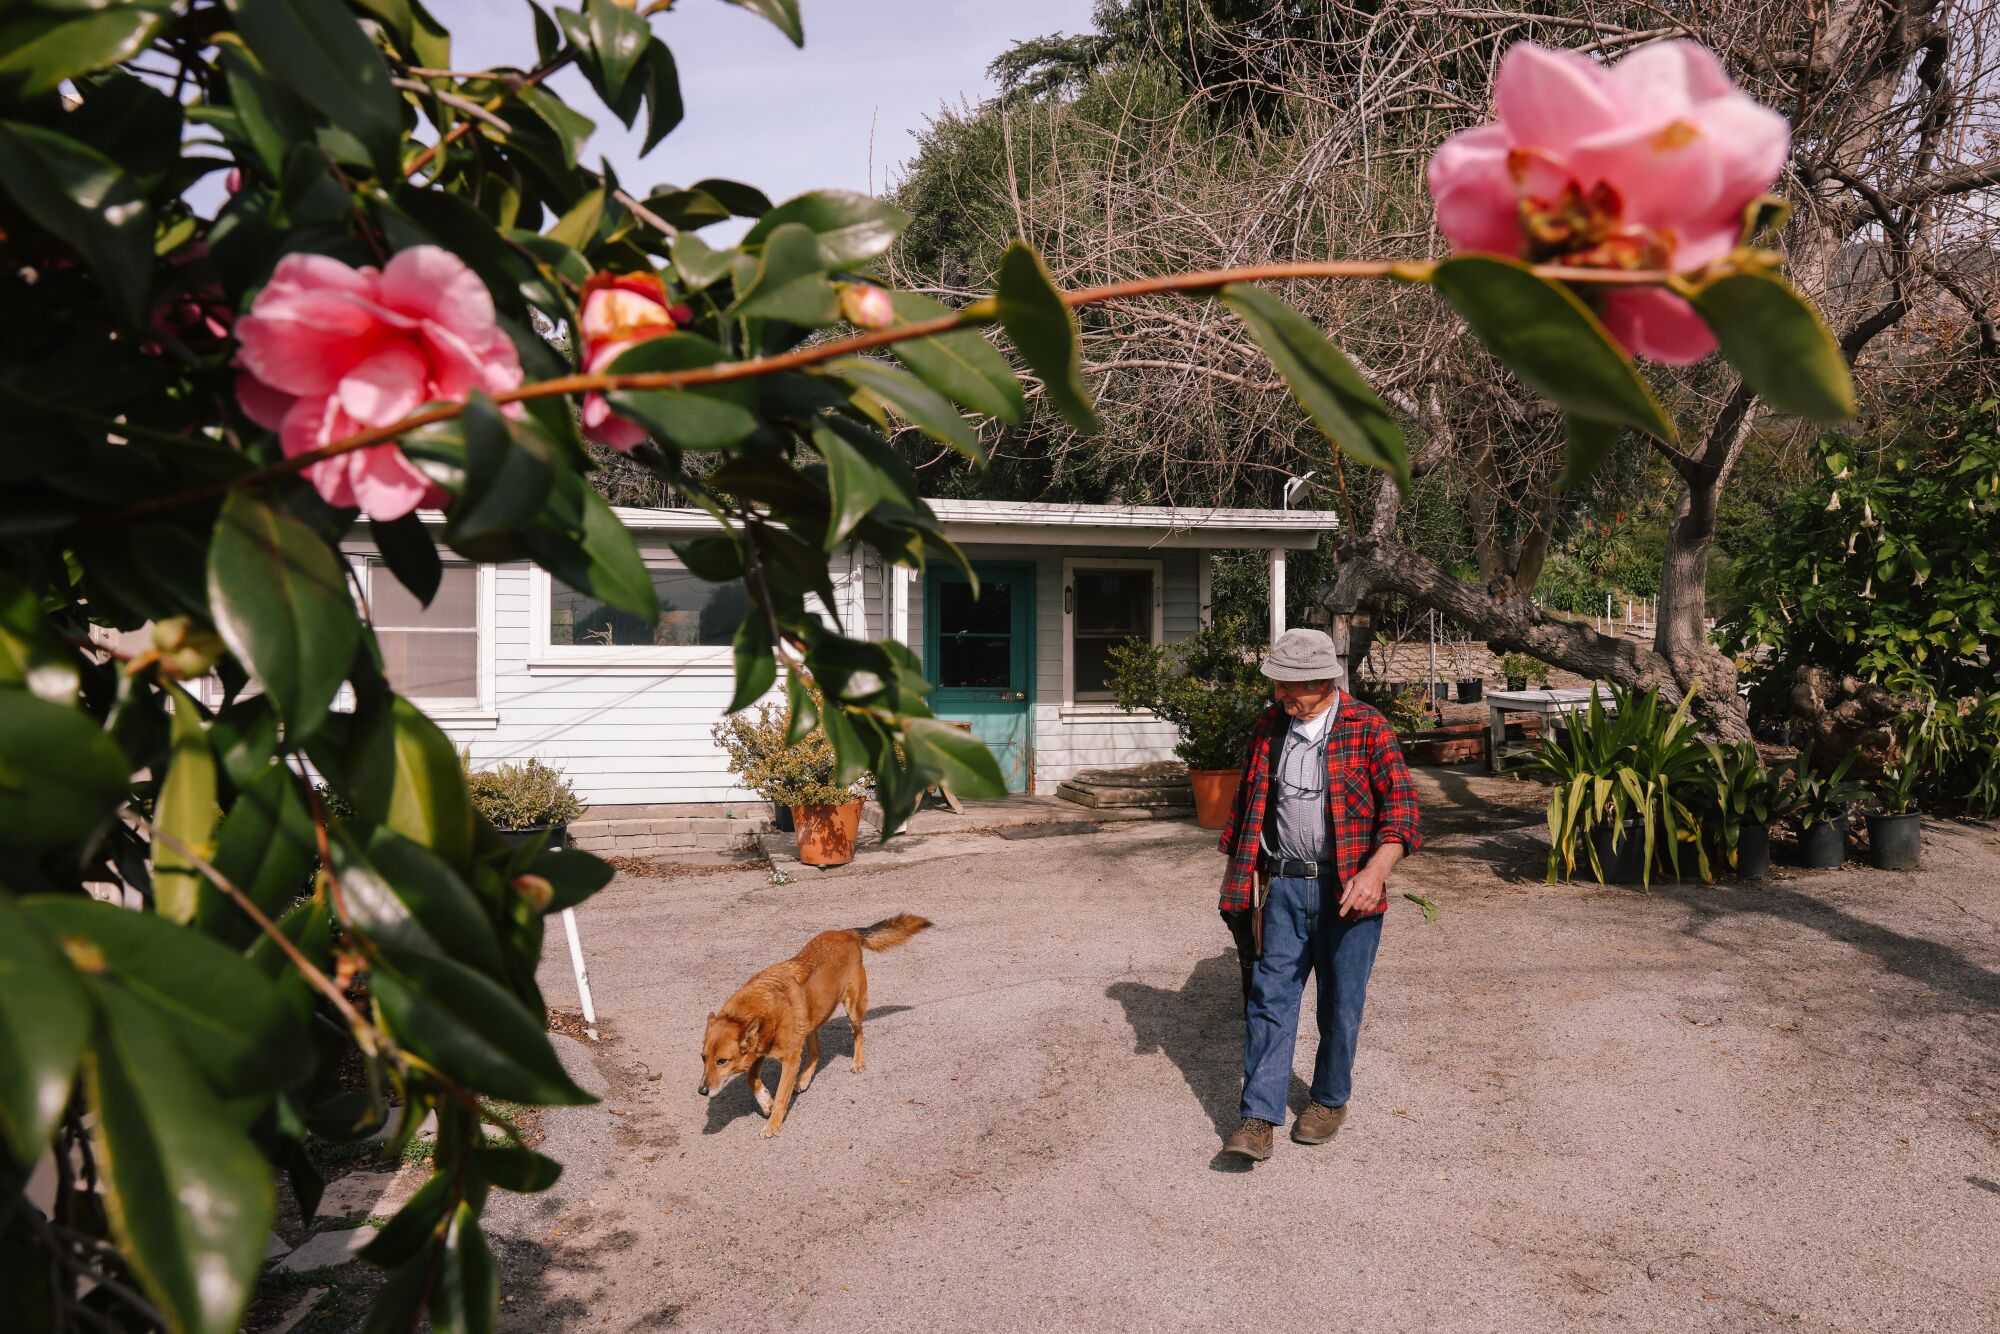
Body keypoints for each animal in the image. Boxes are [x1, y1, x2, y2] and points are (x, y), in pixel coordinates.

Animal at [700, 920, 932, 1136]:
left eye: (722, 1061)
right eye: (703, 1058)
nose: (702, 1090)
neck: (757, 1008)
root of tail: (846, 932)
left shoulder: (789, 1059)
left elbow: (781, 1095)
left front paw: (773, 1123)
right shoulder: (759, 1051)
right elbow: (750, 1078)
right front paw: (766, 1102)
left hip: (853, 1009)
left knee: (859, 1034)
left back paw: (857, 1061)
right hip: (811, 1018)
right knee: (816, 1052)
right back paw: (804, 1078)